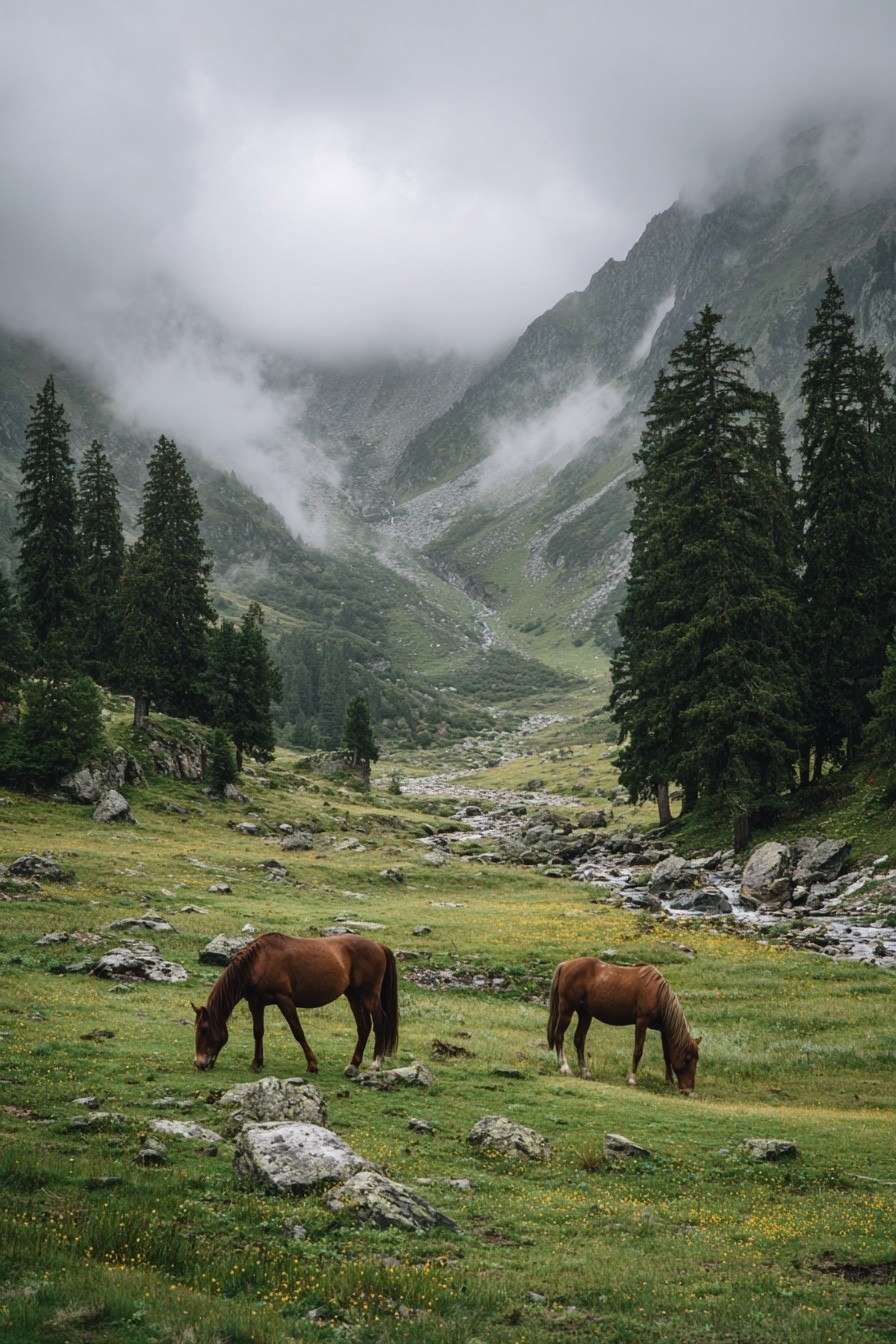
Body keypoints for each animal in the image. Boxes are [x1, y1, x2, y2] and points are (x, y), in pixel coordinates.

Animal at [192, 932, 399, 1074]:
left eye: (204, 1030)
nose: (199, 1063)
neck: (258, 962)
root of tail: (378, 945)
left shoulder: (284, 999)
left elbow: (297, 1031)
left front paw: (312, 1065)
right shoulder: (256, 1003)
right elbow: (258, 1032)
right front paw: (256, 1063)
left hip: (369, 996)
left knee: (380, 1022)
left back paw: (375, 1064)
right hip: (354, 996)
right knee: (364, 1027)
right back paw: (353, 1065)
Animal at [546, 957, 701, 1094]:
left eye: (696, 1059)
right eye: (687, 1060)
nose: (689, 1091)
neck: (657, 994)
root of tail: (565, 965)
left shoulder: (664, 1030)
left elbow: (667, 1055)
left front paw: (669, 1081)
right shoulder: (641, 1022)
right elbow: (638, 1051)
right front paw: (631, 1078)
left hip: (585, 1014)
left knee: (579, 1040)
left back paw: (585, 1071)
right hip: (566, 1010)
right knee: (559, 1036)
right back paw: (564, 1067)